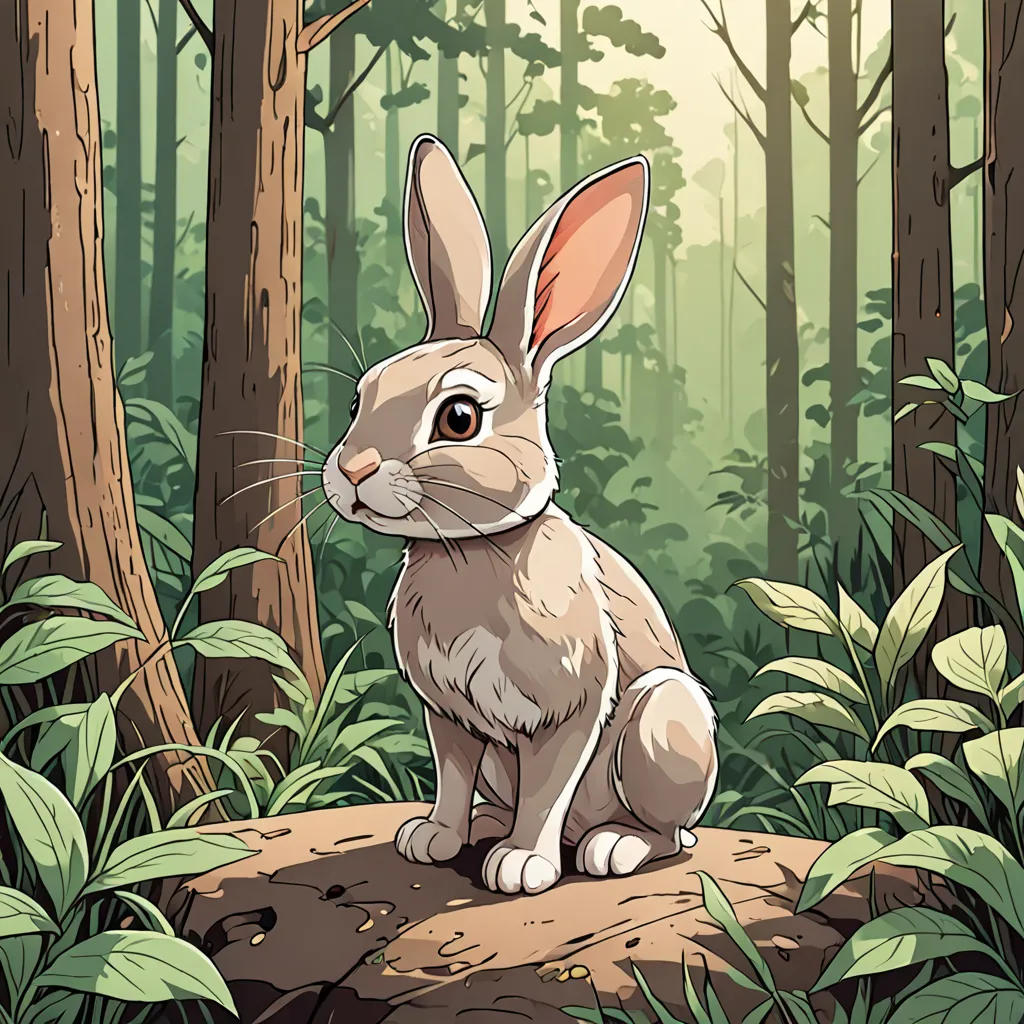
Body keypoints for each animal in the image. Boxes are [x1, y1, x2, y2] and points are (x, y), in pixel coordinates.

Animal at [321, 133, 718, 896]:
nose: (350, 473)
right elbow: (450, 777)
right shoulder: (448, 714)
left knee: (668, 835)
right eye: (360, 398)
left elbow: (548, 788)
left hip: (660, 722)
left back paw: (609, 847)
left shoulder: (568, 710)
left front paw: (522, 867)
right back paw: (485, 826)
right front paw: (433, 839)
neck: (473, 549)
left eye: (459, 417)